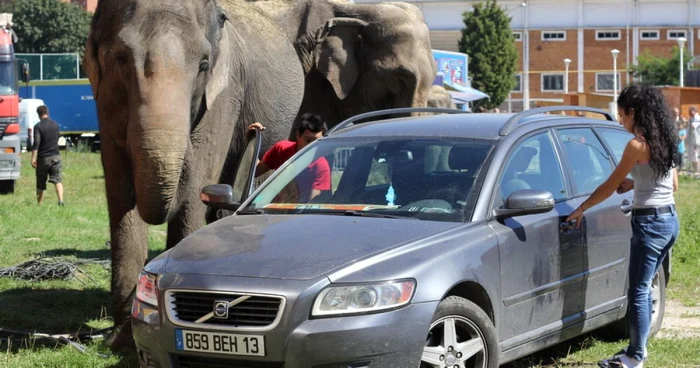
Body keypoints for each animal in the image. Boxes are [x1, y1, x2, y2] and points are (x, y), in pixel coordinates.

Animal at [81, 0, 304, 350]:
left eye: (203, 64)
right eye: (119, 58)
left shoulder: (224, 94)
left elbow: (200, 175)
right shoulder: (104, 100)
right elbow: (119, 191)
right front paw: (122, 340)